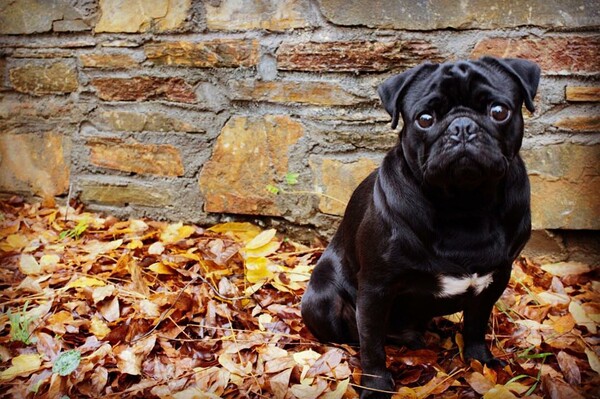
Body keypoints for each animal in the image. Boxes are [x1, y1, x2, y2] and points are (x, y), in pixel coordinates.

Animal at [302, 57, 540, 399]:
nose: (462, 126)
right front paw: (376, 386)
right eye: (425, 119)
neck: (464, 204)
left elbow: (476, 323)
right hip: (322, 301)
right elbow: (372, 345)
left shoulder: (496, 278)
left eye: (499, 111)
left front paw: (479, 360)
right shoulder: (375, 289)